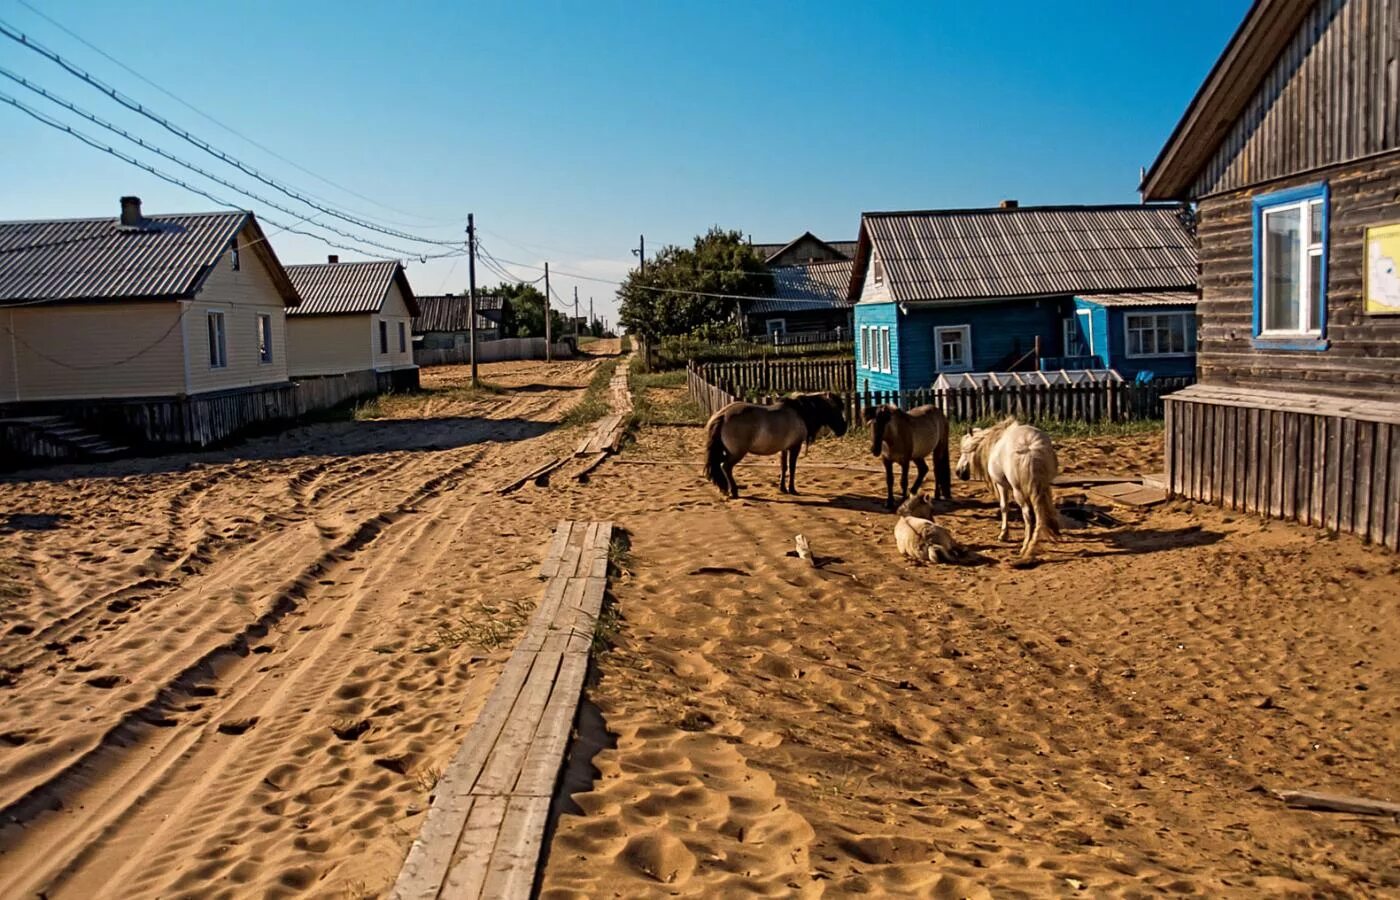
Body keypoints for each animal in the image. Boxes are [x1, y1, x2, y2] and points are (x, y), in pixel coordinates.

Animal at [705, 394, 845, 501]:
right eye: (835, 409)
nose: (843, 429)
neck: (799, 412)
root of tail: (724, 415)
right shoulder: (795, 447)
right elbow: (792, 468)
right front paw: (792, 489)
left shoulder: (784, 448)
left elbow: (784, 467)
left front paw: (782, 488)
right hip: (737, 453)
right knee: (725, 466)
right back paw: (733, 491)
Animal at [952, 419, 1058, 559]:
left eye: (964, 450)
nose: (959, 472)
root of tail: (1029, 447)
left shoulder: (1001, 485)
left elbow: (1004, 507)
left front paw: (1003, 534)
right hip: (1044, 486)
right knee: (1046, 508)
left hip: (1018, 491)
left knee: (1028, 513)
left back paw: (1026, 546)